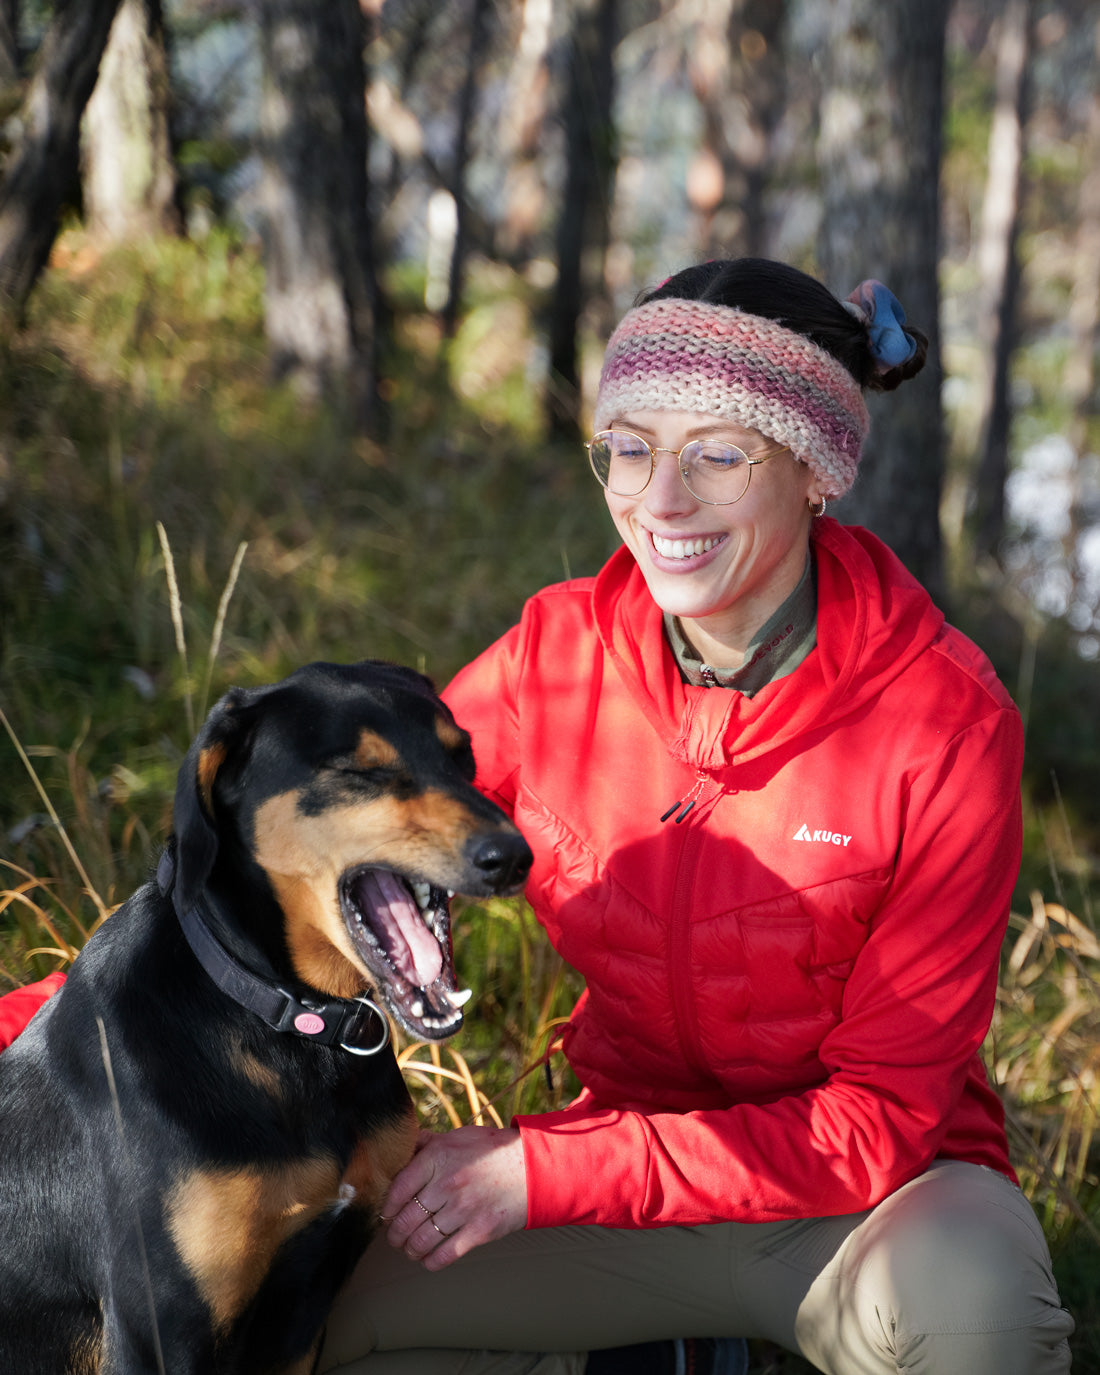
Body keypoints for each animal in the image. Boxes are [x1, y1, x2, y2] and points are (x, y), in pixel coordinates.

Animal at [0, 660, 533, 1369]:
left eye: (462, 757)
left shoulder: (305, 1306)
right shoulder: (161, 1327)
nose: (513, 857)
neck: (287, 1027)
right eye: (358, 770)